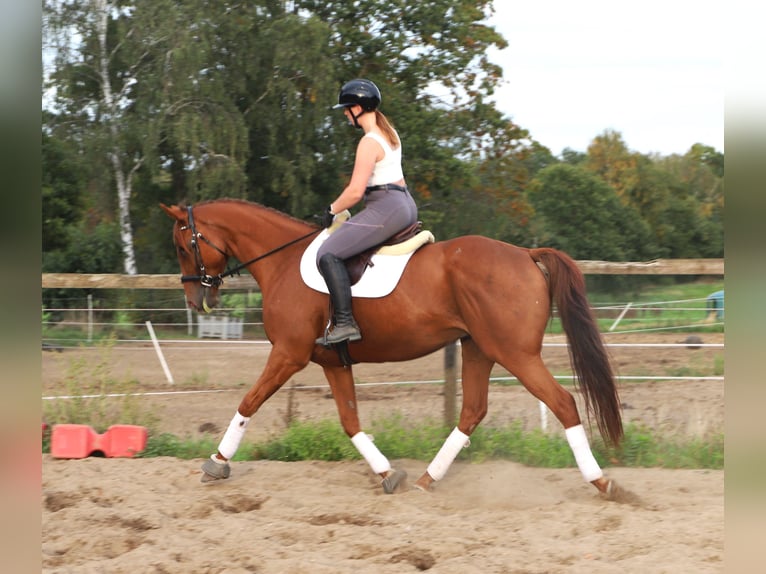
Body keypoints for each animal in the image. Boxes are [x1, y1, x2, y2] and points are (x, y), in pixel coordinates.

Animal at [161, 198, 623, 497]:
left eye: (184, 246)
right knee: (473, 411)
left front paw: (216, 463)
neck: (283, 262)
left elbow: (249, 401)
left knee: (563, 403)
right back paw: (426, 480)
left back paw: (601, 481)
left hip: (516, 354)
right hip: (478, 348)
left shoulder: (288, 354)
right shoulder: (332, 362)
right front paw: (387, 473)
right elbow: (350, 422)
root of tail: (526, 254)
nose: (196, 300)